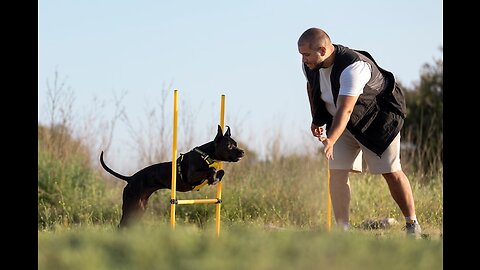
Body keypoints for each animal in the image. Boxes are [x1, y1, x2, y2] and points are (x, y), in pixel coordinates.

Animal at [100, 125, 246, 227]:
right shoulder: (191, 177)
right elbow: (211, 169)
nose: (243, 152)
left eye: (236, 144)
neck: (206, 155)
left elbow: (221, 171)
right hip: (131, 206)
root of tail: (130, 178)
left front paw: (215, 178)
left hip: (139, 208)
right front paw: (212, 176)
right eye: (229, 145)